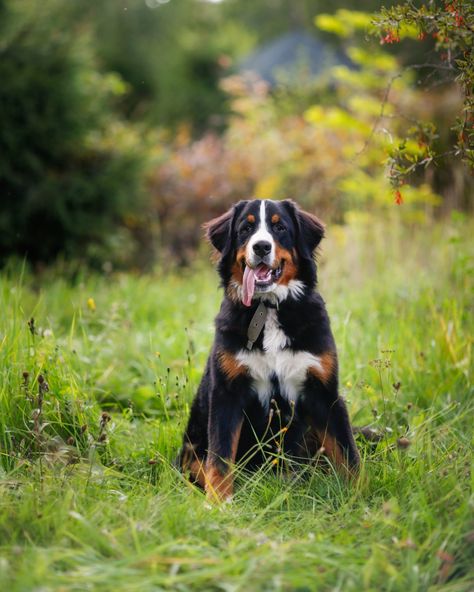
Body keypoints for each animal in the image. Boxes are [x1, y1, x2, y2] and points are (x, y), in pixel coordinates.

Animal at [178, 199, 360, 500]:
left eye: (280, 227)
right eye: (246, 228)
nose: (261, 247)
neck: (269, 308)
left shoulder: (324, 393)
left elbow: (349, 453)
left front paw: (361, 496)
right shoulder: (227, 393)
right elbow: (220, 457)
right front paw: (219, 502)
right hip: (191, 451)